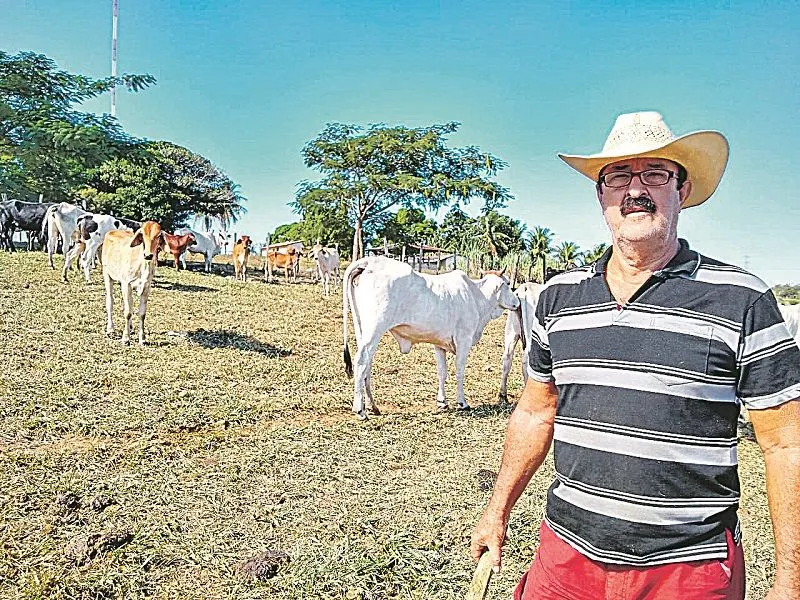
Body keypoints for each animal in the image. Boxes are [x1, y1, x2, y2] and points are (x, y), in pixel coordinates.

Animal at [340, 255, 520, 420]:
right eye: (508, 284)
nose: (517, 302)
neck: (477, 296)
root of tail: (368, 262)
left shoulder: (439, 344)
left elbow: (442, 372)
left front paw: (442, 402)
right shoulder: (464, 340)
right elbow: (459, 371)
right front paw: (462, 402)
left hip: (362, 330)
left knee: (367, 366)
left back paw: (372, 406)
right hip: (374, 330)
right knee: (361, 361)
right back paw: (360, 410)